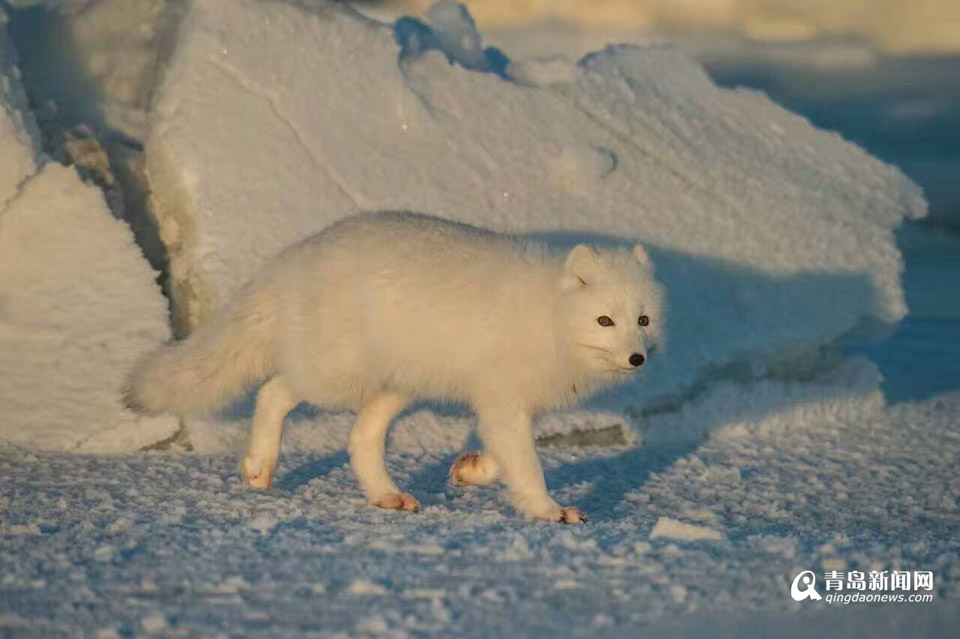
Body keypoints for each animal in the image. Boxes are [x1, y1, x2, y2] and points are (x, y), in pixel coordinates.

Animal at [127, 212, 664, 524]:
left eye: (642, 320)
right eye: (604, 320)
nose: (637, 358)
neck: (548, 316)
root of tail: (291, 260)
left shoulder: (503, 403)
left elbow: (501, 456)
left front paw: (469, 470)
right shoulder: (502, 399)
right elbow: (525, 463)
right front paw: (548, 510)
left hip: (399, 384)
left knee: (359, 438)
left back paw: (387, 496)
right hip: (336, 376)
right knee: (274, 390)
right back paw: (260, 465)